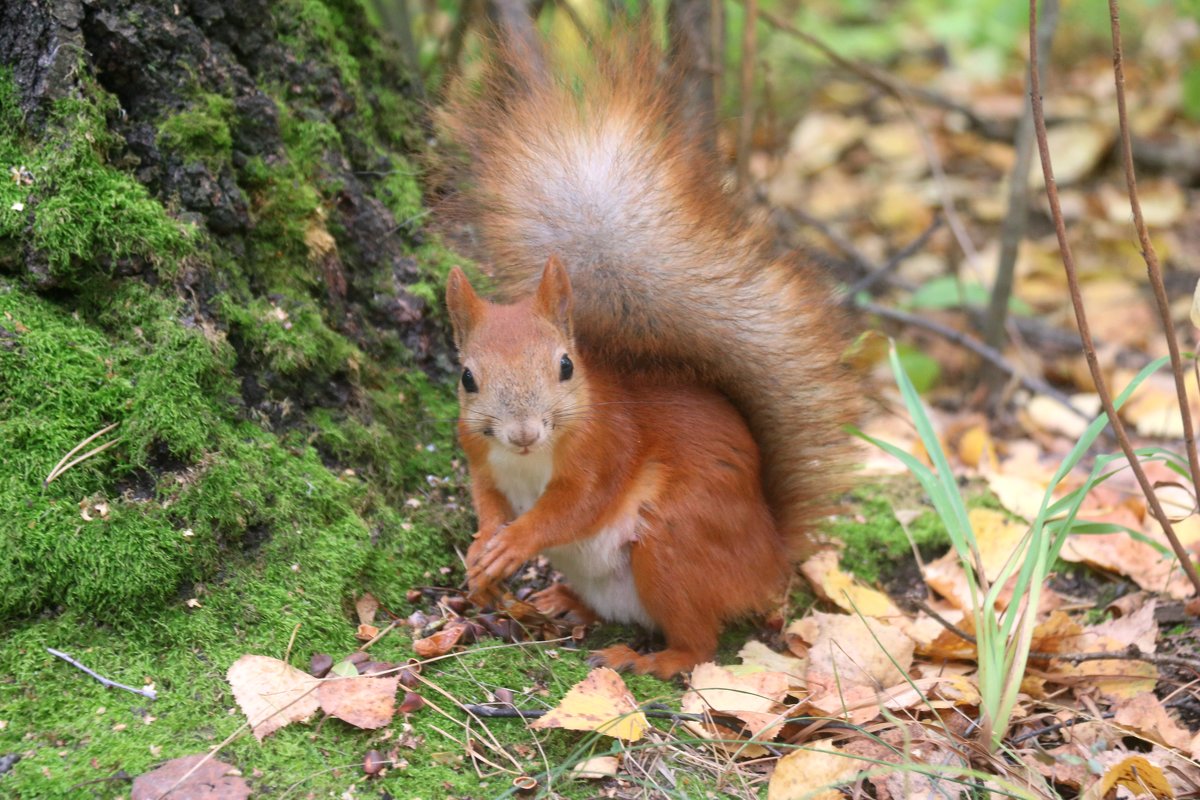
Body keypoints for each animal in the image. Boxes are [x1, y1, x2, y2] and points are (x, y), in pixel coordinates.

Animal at [441, 35, 864, 676]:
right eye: (468, 378)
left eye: (566, 366)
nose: (522, 433)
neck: (527, 461)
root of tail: (770, 555)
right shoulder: (480, 454)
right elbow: (487, 499)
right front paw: (481, 550)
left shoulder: (607, 447)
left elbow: (571, 507)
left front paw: (511, 543)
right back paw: (563, 601)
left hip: (672, 543)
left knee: (699, 643)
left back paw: (650, 660)